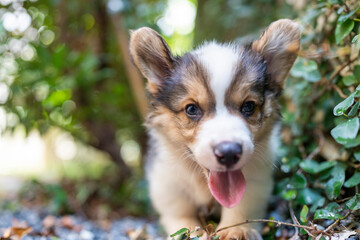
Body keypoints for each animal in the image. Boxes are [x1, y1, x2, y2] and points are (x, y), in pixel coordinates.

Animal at [129, 19, 300, 240]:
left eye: (249, 106)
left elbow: (242, 206)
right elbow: (179, 216)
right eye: (191, 109)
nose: (228, 153)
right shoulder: (167, 183)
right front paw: (191, 230)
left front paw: (237, 229)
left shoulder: (256, 180)